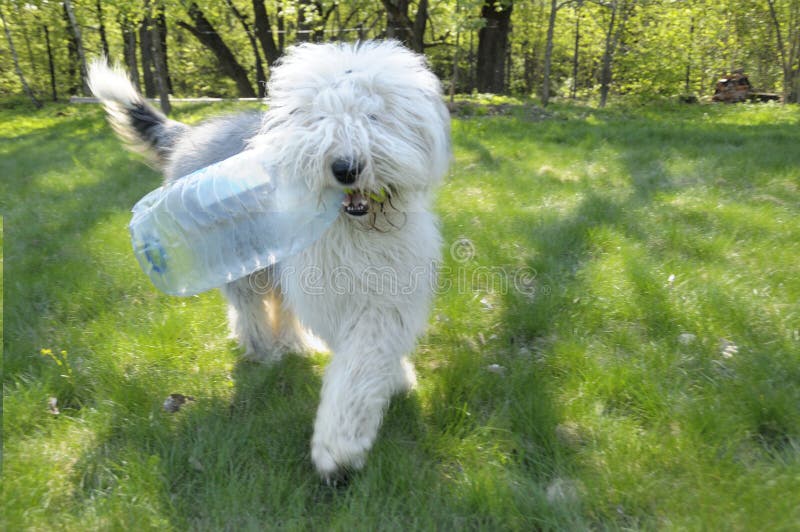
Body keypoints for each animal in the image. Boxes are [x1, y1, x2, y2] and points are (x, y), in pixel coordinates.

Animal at [89, 41, 450, 482]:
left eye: (374, 116)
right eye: (319, 119)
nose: (345, 168)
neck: (356, 229)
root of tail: (192, 133)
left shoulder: (387, 290)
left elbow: (373, 347)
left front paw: (394, 380)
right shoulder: (332, 290)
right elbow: (355, 363)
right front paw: (338, 449)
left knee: (280, 304)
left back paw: (293, 343)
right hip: (240, 261)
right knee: (249, 307)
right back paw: (264, 350)